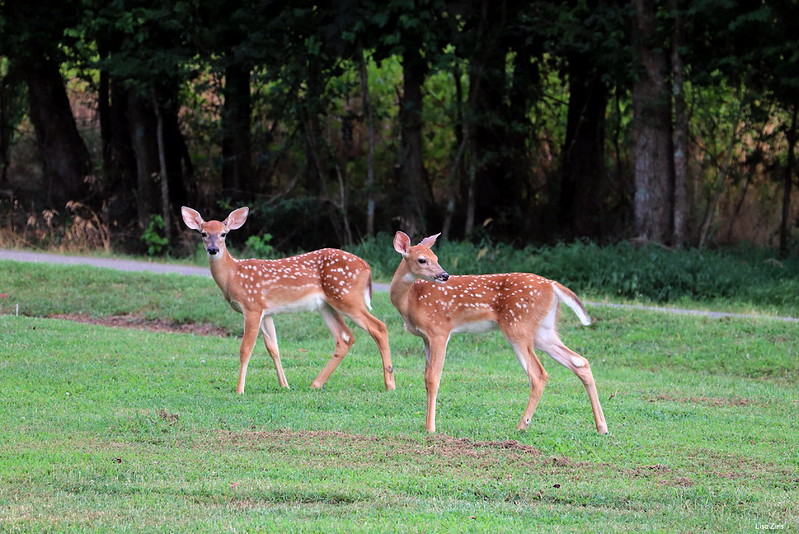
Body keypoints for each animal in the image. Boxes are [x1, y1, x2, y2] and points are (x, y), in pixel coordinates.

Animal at [180, 207, 394, 396]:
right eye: (203, 233)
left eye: (223, 234)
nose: (213, 249)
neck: (233, 276)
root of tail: (367, 267)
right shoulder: (266, 312)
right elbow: (273, 348)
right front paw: (284, 385)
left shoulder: (252, 306)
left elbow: (245, 349)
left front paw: (239, 390)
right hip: (327, 305)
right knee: (345, 337)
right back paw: (315, 384)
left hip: (346, 297)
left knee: (379, 327)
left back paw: (389, 384)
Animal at [390, 232, 608, 438]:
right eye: (422, 259)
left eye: (435, 257)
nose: (444, 275)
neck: (411, 300)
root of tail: (553, 285)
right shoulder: (425, 337)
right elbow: (426, 377)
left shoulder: (439, 330)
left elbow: (433, 378)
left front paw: (430, 428)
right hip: (543, 331)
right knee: (580, 361)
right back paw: (602, 427)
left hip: (517, 325)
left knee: (538, 374)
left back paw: (521, 426)